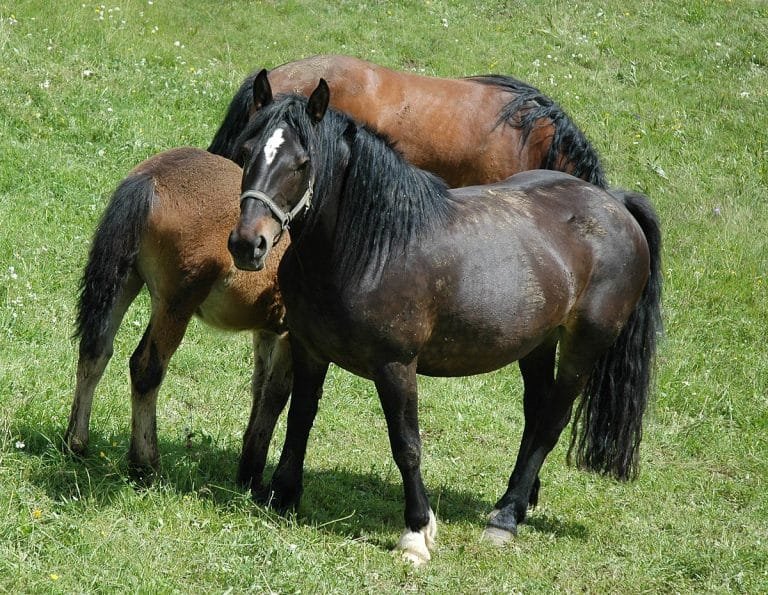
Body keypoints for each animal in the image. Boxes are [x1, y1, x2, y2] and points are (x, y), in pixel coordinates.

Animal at [65, 147, 292, 487]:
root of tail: (151, 178)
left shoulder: (266, 330)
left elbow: (260, 388)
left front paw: (247, 466)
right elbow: (277, 395)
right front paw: (253, 478)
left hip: (130, 281)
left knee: (95, 350)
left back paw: (76, 443)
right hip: (176, 305)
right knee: (146, 369)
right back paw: (145, 465)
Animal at [226, 78, 662, 565]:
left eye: (302, 163)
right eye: (246, 151)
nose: (248, 244)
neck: (372, 250)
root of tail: (615, 203)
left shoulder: (396, 367)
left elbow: (406, 445)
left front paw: (417, 532)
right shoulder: (309, 350)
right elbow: (301, 416)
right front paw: (284, 495)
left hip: (583, 346)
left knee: (552, 420)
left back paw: (505, 518)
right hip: (537, 342)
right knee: (535, 413)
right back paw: (522, 499)